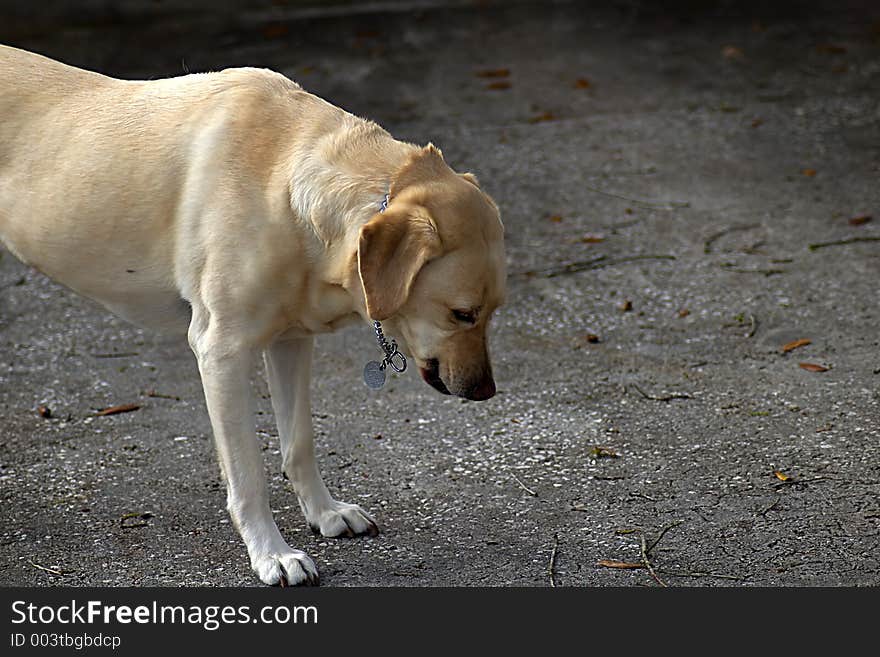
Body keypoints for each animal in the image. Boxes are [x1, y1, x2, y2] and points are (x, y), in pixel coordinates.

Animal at [0, 44, 506, 584]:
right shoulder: (221, 353)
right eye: (462, 314)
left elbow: (299, 443)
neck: (284, 186)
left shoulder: (291, 342)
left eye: (493, 311)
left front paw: (324, 513)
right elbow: (249, 477)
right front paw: (272, 553)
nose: (486, 392)